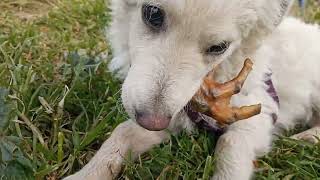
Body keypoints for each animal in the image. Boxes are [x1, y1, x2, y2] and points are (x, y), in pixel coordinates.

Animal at [65, 0, 320, 179]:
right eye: (153, 14)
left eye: (219, 47)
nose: (152, 121)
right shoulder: (173, 118)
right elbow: (121, 133)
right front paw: (83, 176)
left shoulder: (259, 113)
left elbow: (230, 146)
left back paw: (306, 137)